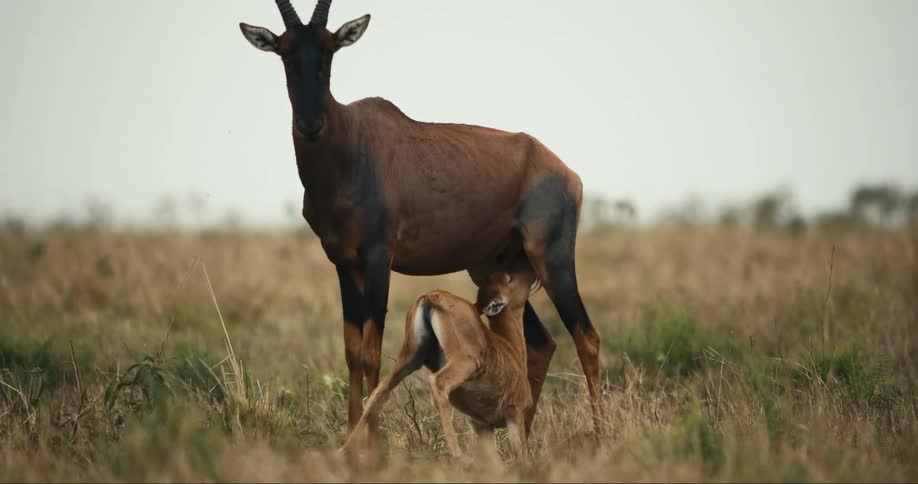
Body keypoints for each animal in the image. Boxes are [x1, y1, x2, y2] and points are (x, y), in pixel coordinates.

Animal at [340, 262, 537, 458]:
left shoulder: (482, 425)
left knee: (379, 392)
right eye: (509, 278)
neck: (510, 348)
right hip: (464, 363)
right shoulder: (514, 415)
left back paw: (344, 450)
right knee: (438, 383)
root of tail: (431, 297)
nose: (530, 272)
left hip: (409, 359)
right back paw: (458, 454)